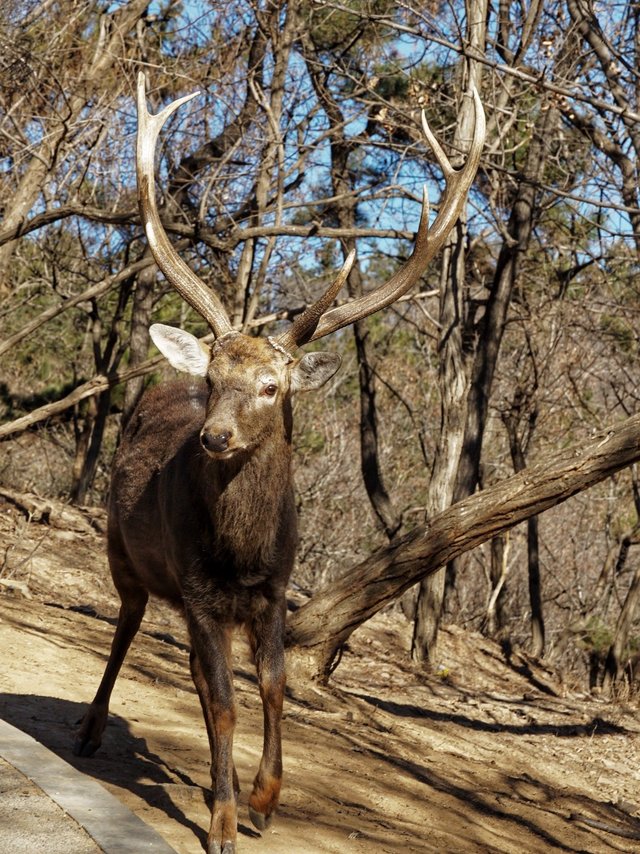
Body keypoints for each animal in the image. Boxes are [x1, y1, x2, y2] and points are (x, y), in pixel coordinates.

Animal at [73, 72, 484, 854]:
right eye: (213, 379)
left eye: (272, 386)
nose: (214, 437)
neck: (241, 554)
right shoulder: (200, 590)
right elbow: (226, 703)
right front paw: (225, 823)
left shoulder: (273, 592)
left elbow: (269, 687)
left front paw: (264, 797)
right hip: (122, 552)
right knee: (128, 625)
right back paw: (90, 729)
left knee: (194, 671)